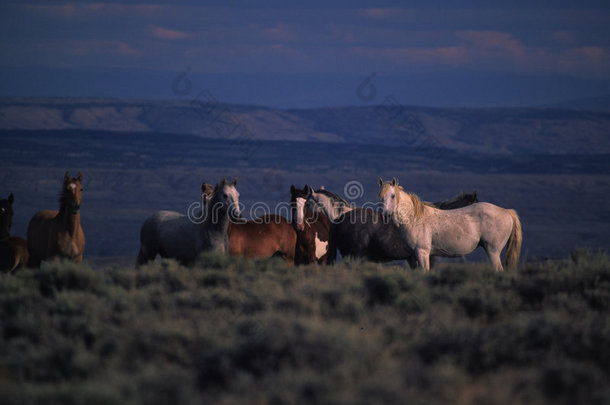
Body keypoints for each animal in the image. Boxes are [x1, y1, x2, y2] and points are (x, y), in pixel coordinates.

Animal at [376, 178, 516, 270]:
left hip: (493, 251)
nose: (386, 215)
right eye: (380, 197)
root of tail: (507, 212)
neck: (414, 219)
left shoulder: (423, 253)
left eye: (393, 196)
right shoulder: (412, 257)